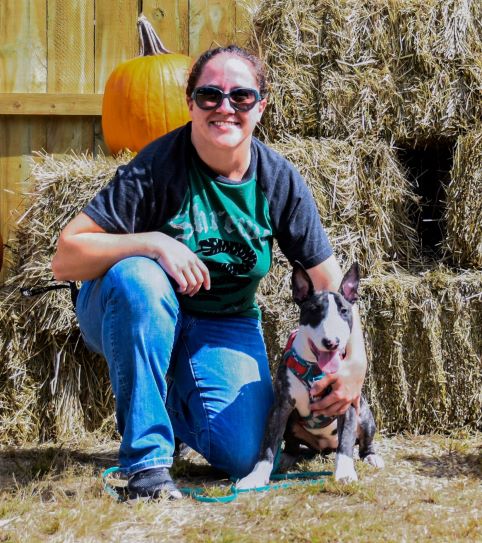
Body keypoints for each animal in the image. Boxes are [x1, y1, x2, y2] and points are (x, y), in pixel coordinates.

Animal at [237, 262, 384, 490]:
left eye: (344, 311)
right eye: (314, 310)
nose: (331, 342)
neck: (314, 369)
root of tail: (324, 447)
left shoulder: (347, 404)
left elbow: (346, 443)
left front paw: (344, 473)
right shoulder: (280, 407)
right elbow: (268, 444)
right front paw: (256, 476)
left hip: (366, 416)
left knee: (362, 443)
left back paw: (371, 456)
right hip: (291, 422)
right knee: (291, 444)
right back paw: (286, 457)